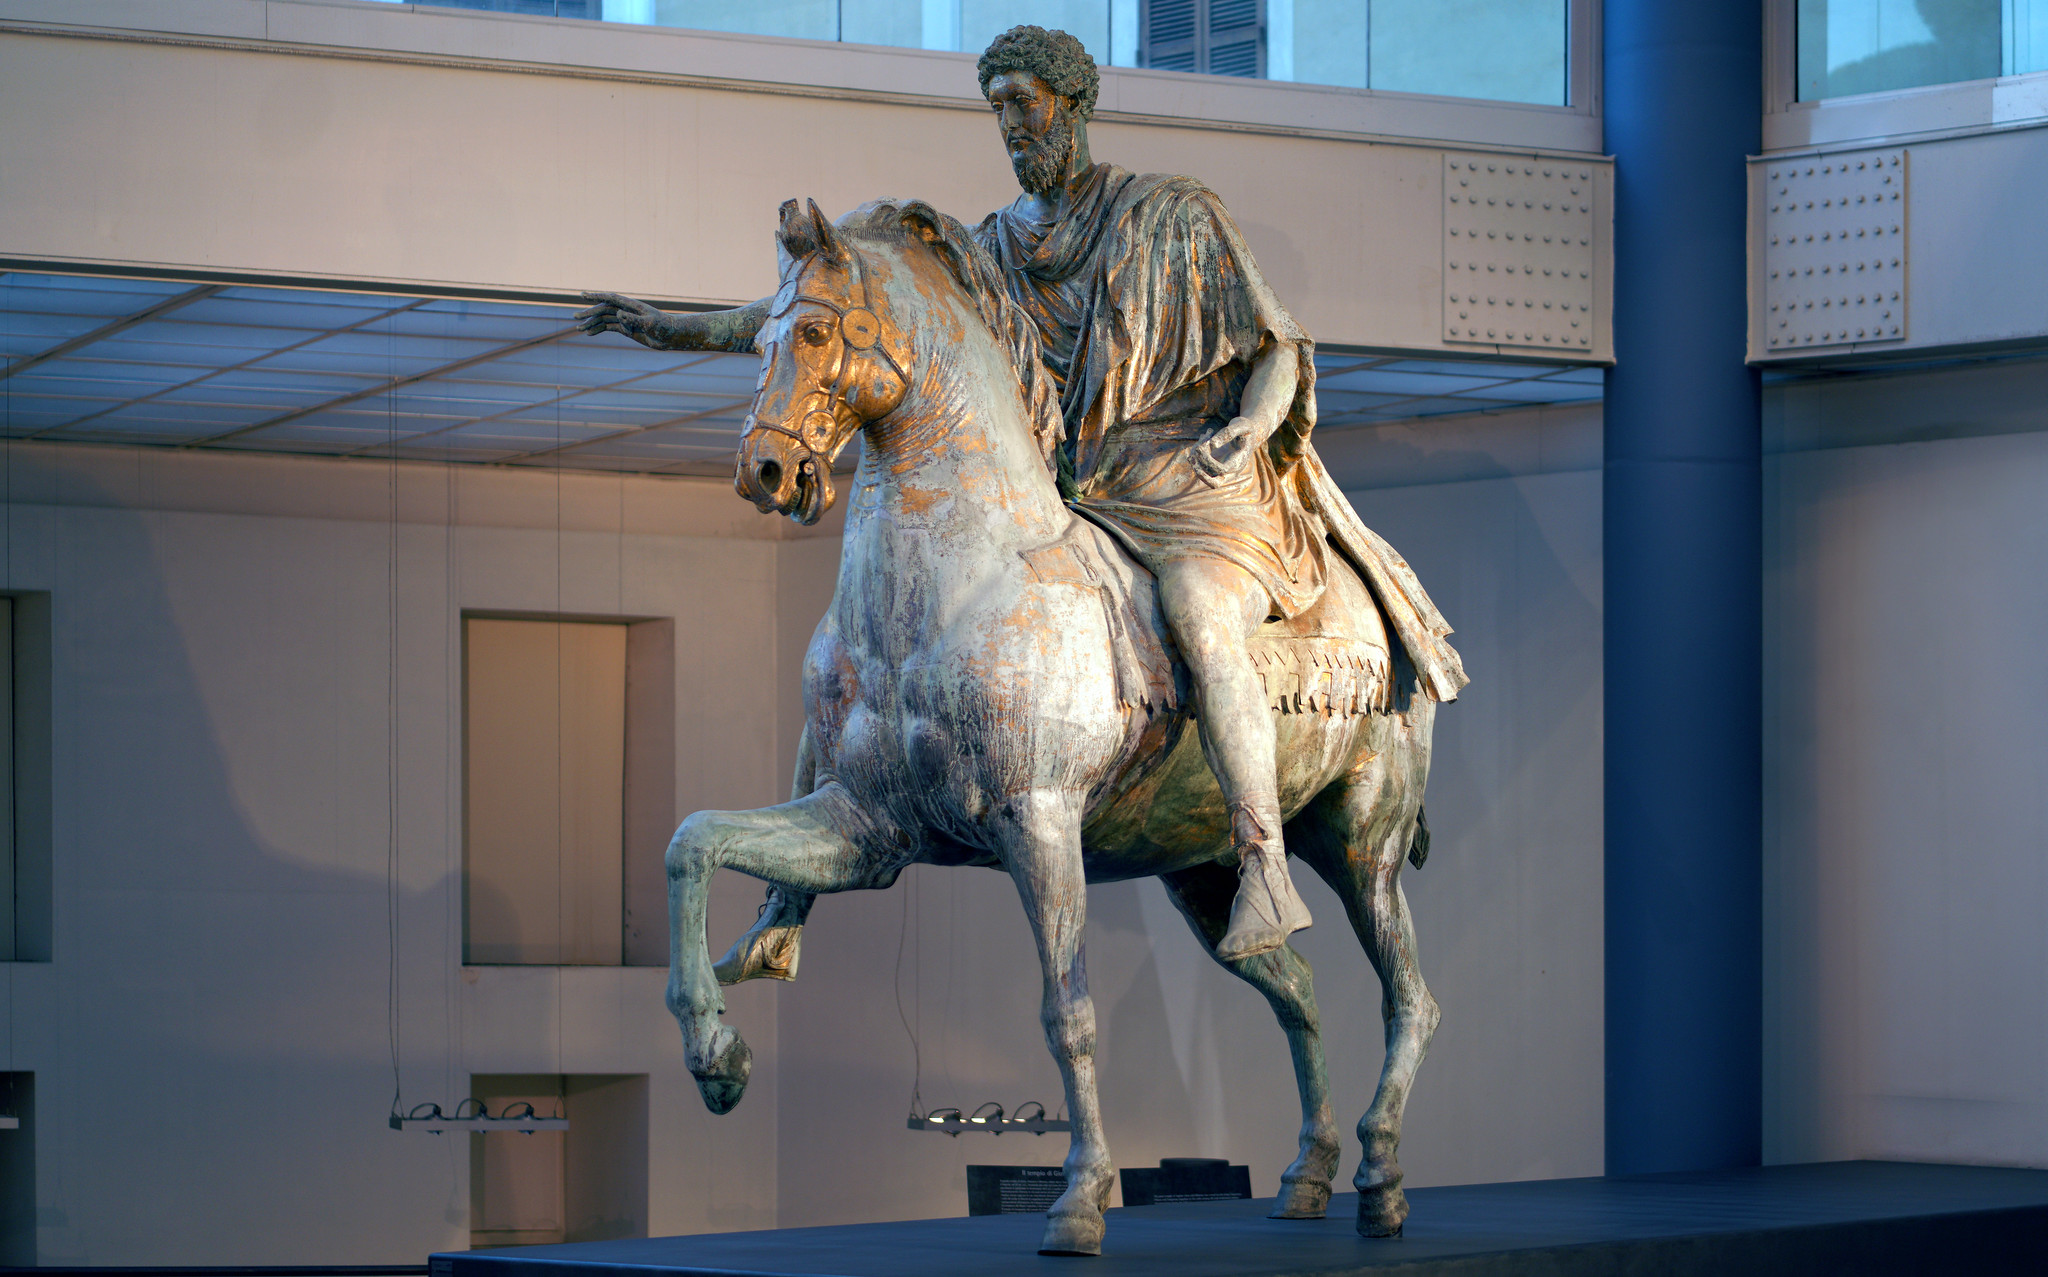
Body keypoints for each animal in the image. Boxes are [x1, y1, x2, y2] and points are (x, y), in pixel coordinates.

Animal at [663, 199, 1449, 1260]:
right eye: (757, 341)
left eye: (819, 332)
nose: (765, 470)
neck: (963, 579)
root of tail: (1380, 598)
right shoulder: (865, 831)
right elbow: (693, 841)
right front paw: (716, 1053)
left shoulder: (1037, 822)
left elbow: (1066, 1012)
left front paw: (1079, 1198)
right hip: (1208, 880)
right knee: (1297, 988)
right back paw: (1308, 1175)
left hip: (1362, 838)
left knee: (1411, 997)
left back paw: (1381, 1174)